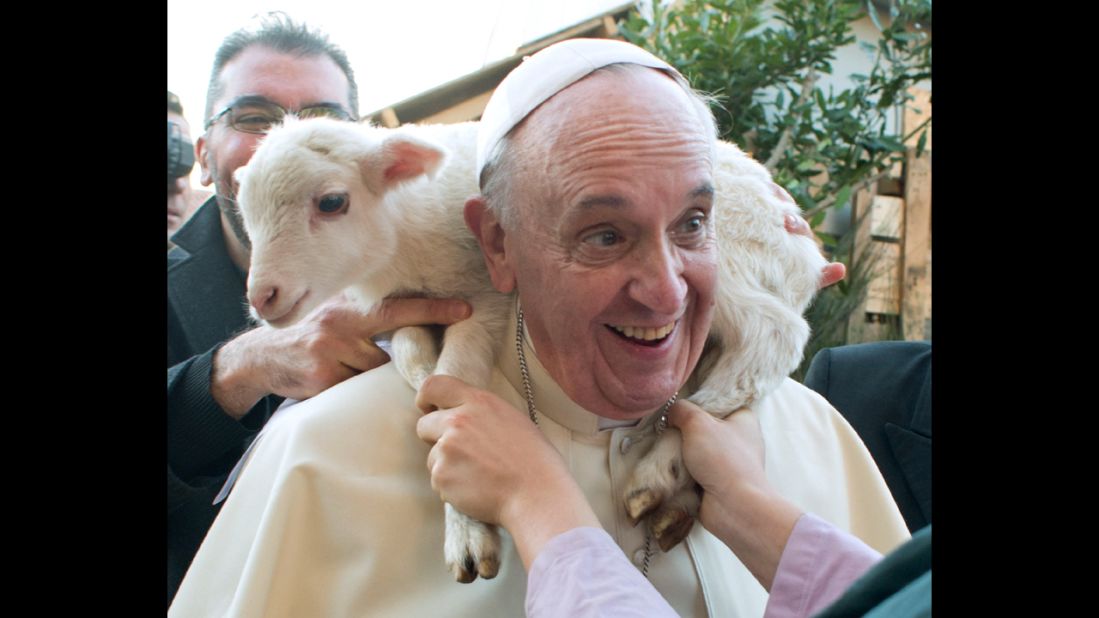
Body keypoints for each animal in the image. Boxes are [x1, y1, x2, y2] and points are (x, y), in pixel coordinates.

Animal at [236, 114, 826, 576]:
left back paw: (665, 458)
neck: (404, 236)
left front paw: (465, 530)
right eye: (245, 217)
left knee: (773, 336)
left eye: (332, 201)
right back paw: (675, 493)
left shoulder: (485, 294)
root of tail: (801, 245)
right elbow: (410, 353)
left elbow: (458, 374)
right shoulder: (406, 304)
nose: (263, 297)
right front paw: (422, 382)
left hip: (730, 257)